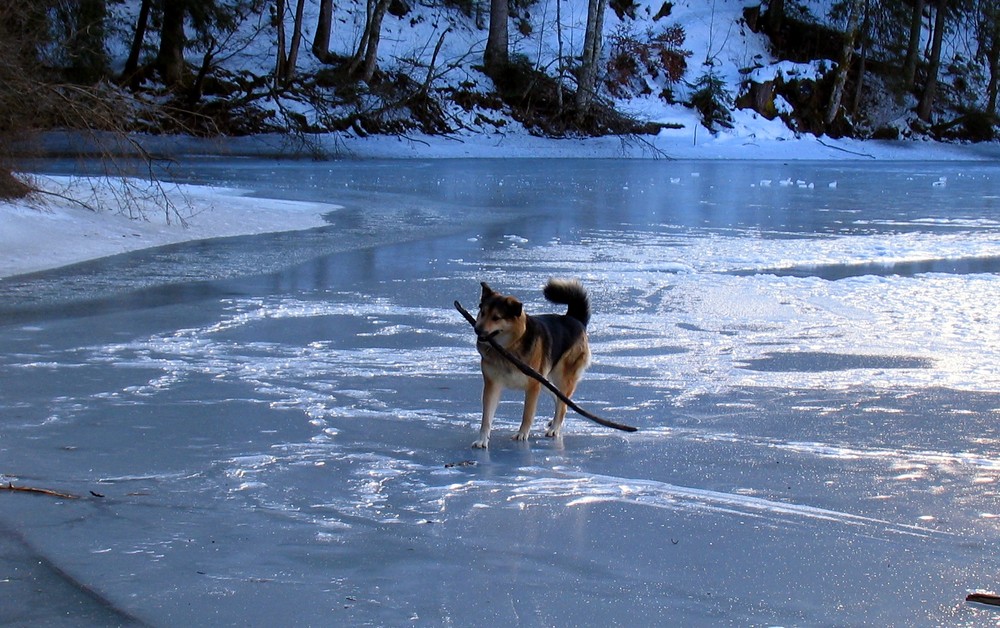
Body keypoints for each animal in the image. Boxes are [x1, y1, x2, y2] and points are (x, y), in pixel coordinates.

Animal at [470, 278, 588, 446]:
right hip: (545, 379)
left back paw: (555, 428)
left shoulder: (533, 385)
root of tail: (575, 319)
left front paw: (522, 434)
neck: (508, 348)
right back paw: (553, 422)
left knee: (563, 404)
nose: (477, 329)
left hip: (561, 376)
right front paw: (482, 440)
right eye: (483, 313)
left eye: (496, 318)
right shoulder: (492, 385)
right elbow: (486, 418)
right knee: (560, 398)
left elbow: (527, 414)